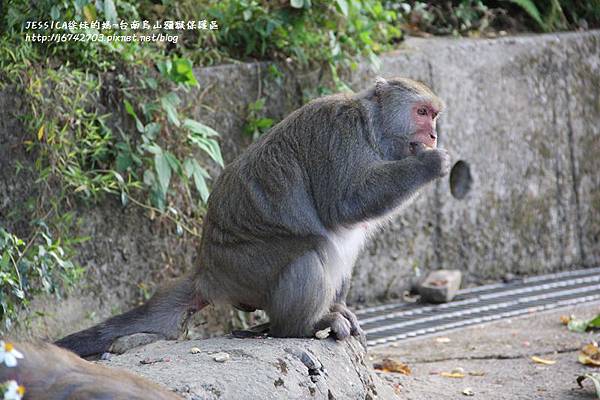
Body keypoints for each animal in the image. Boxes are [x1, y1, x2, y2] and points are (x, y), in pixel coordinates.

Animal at [57, 77, 450, 356]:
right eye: (422, 113)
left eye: (433, 116)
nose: (433, 135)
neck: (373, 128)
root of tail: (208, 271)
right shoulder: (340, 133)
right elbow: (345, 203)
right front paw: (429, 164)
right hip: (245, 269)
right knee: (312, 251)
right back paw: (303, 325)